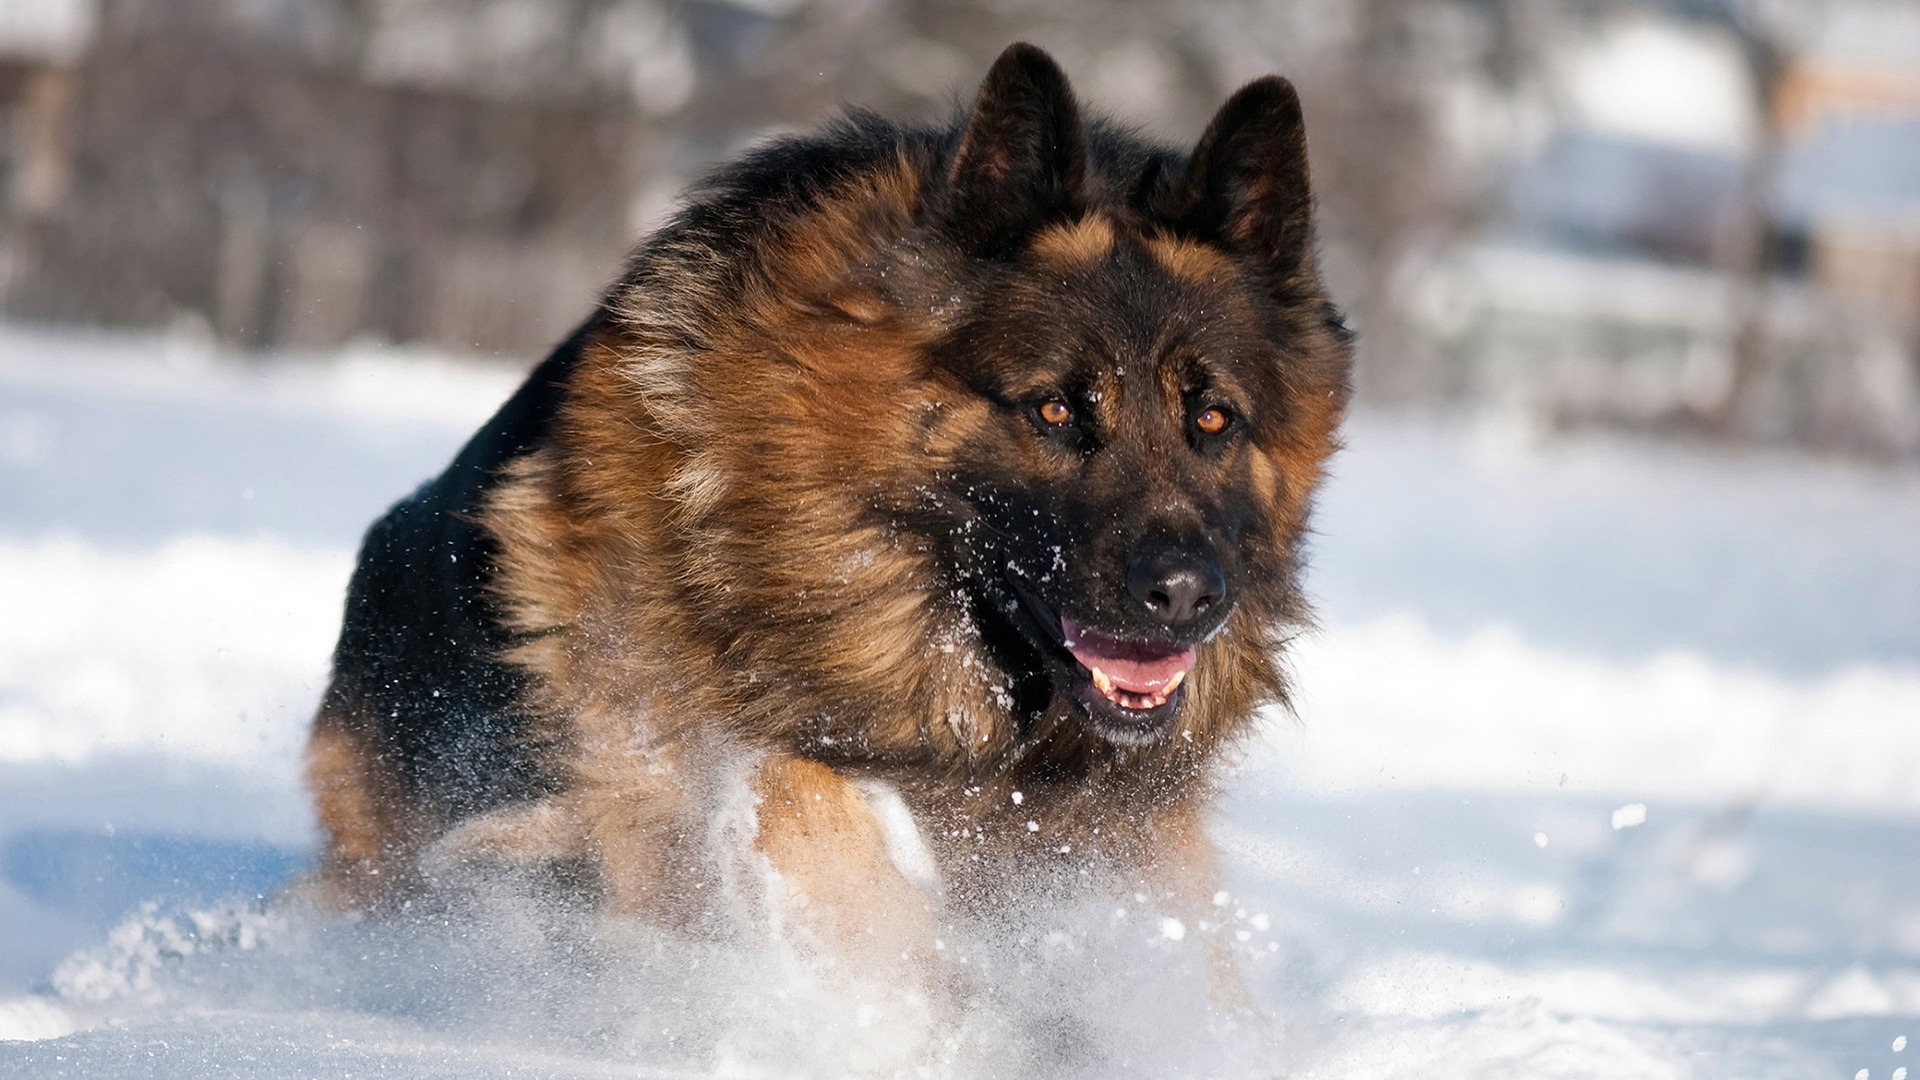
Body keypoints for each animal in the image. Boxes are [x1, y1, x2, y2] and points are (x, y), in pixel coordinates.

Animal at [303, 42, 1351, 999]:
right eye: (1055, 410)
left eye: (1212, 419)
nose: (1186, 597)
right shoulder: (662, 755)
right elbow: (802, 803)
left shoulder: (1124, 840)